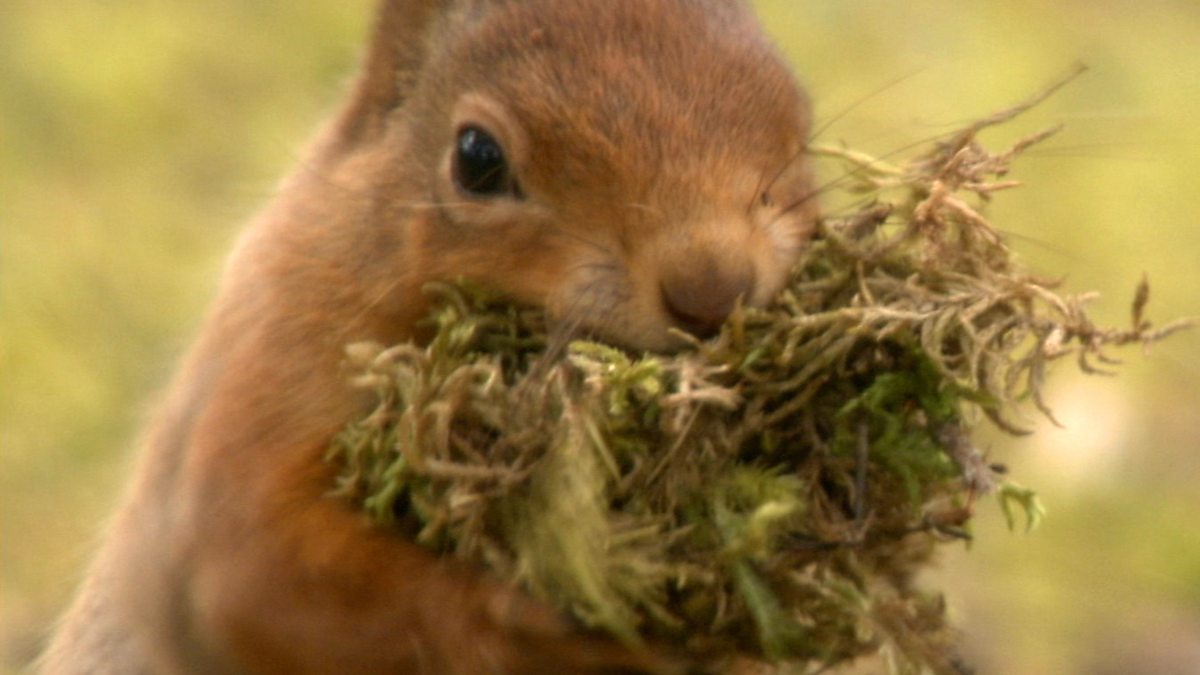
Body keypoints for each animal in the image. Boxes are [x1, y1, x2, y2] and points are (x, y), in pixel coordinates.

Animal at [38, 0, 818, 673]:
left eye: (800, 124)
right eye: (477, 156)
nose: (712, 286)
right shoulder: (277, 346)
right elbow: (254, 566)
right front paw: (539, 622)